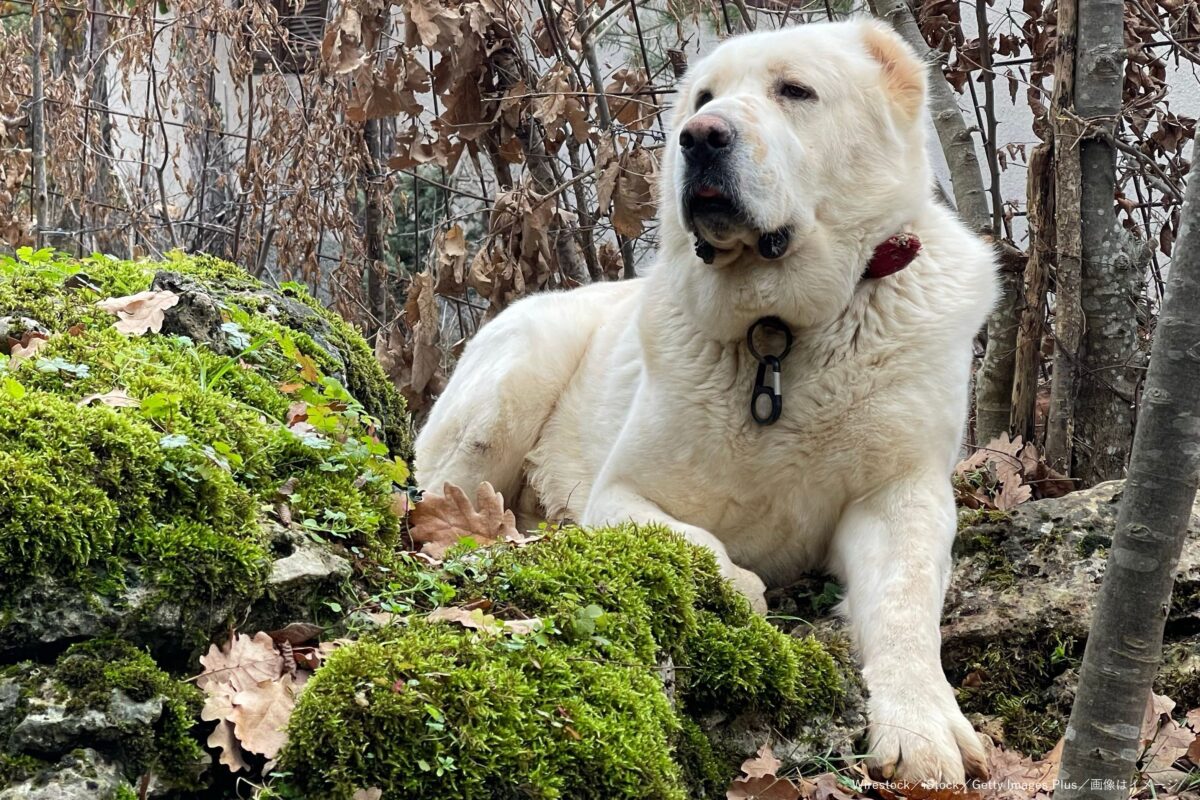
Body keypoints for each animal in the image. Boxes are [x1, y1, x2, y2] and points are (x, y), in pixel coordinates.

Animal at [417, 20, 998, 786]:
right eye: (702, 98)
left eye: (795, 91)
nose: (701, 137)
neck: (779, 329)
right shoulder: (621, 492)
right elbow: (703, 546)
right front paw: (744, 589)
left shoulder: (900, 494)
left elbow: (904, 602)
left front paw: (922, 724)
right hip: (515, 377)